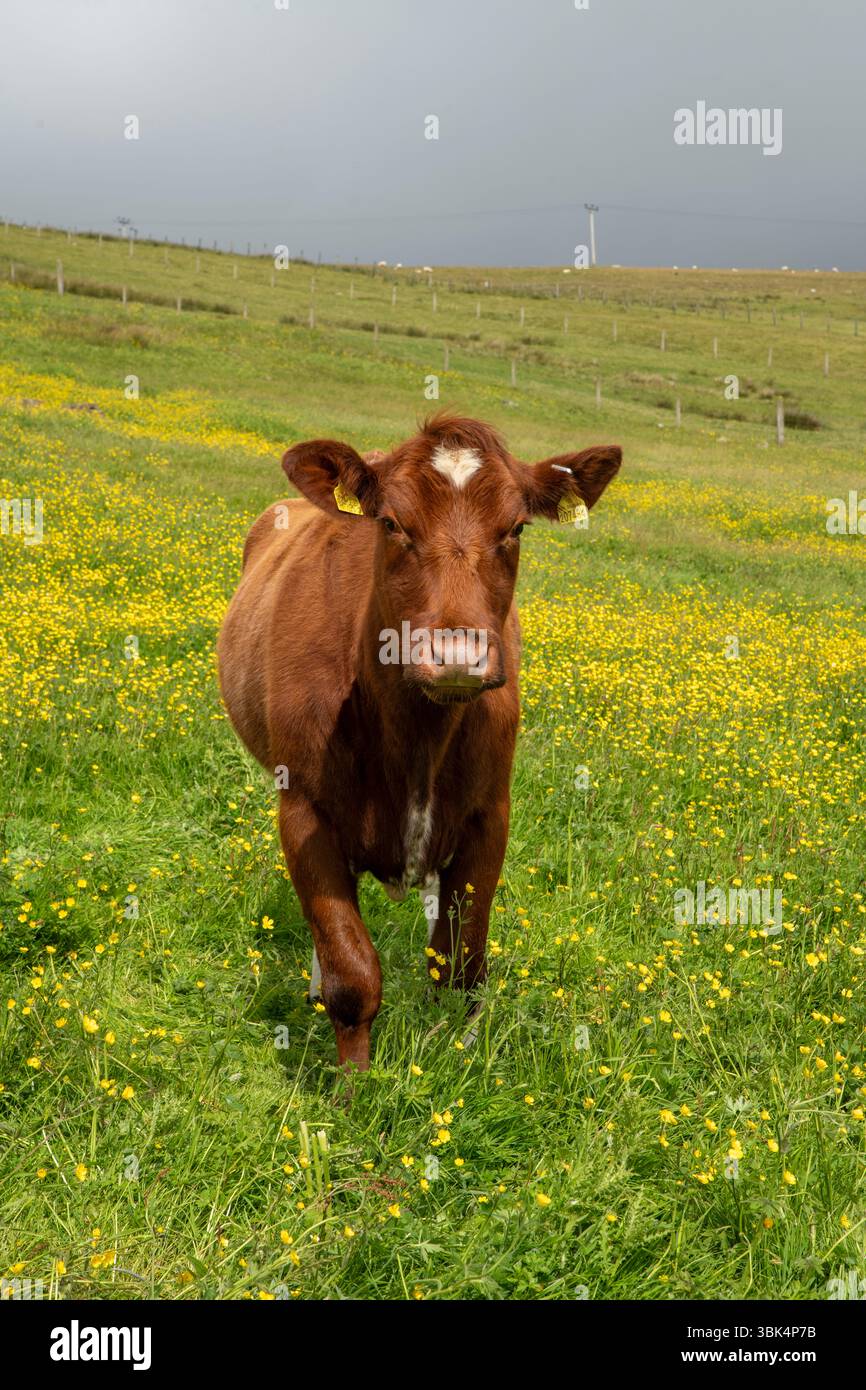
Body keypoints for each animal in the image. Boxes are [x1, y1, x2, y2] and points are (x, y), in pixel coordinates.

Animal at [217, 414, 621, 1070]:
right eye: (391, 523)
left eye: (516, 528)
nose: (456, 653)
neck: (415, 737)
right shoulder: (302, 810)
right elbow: (351, 971)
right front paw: (353, 1085)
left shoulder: (489, 815)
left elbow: (458, 963)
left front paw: (455, 1056)